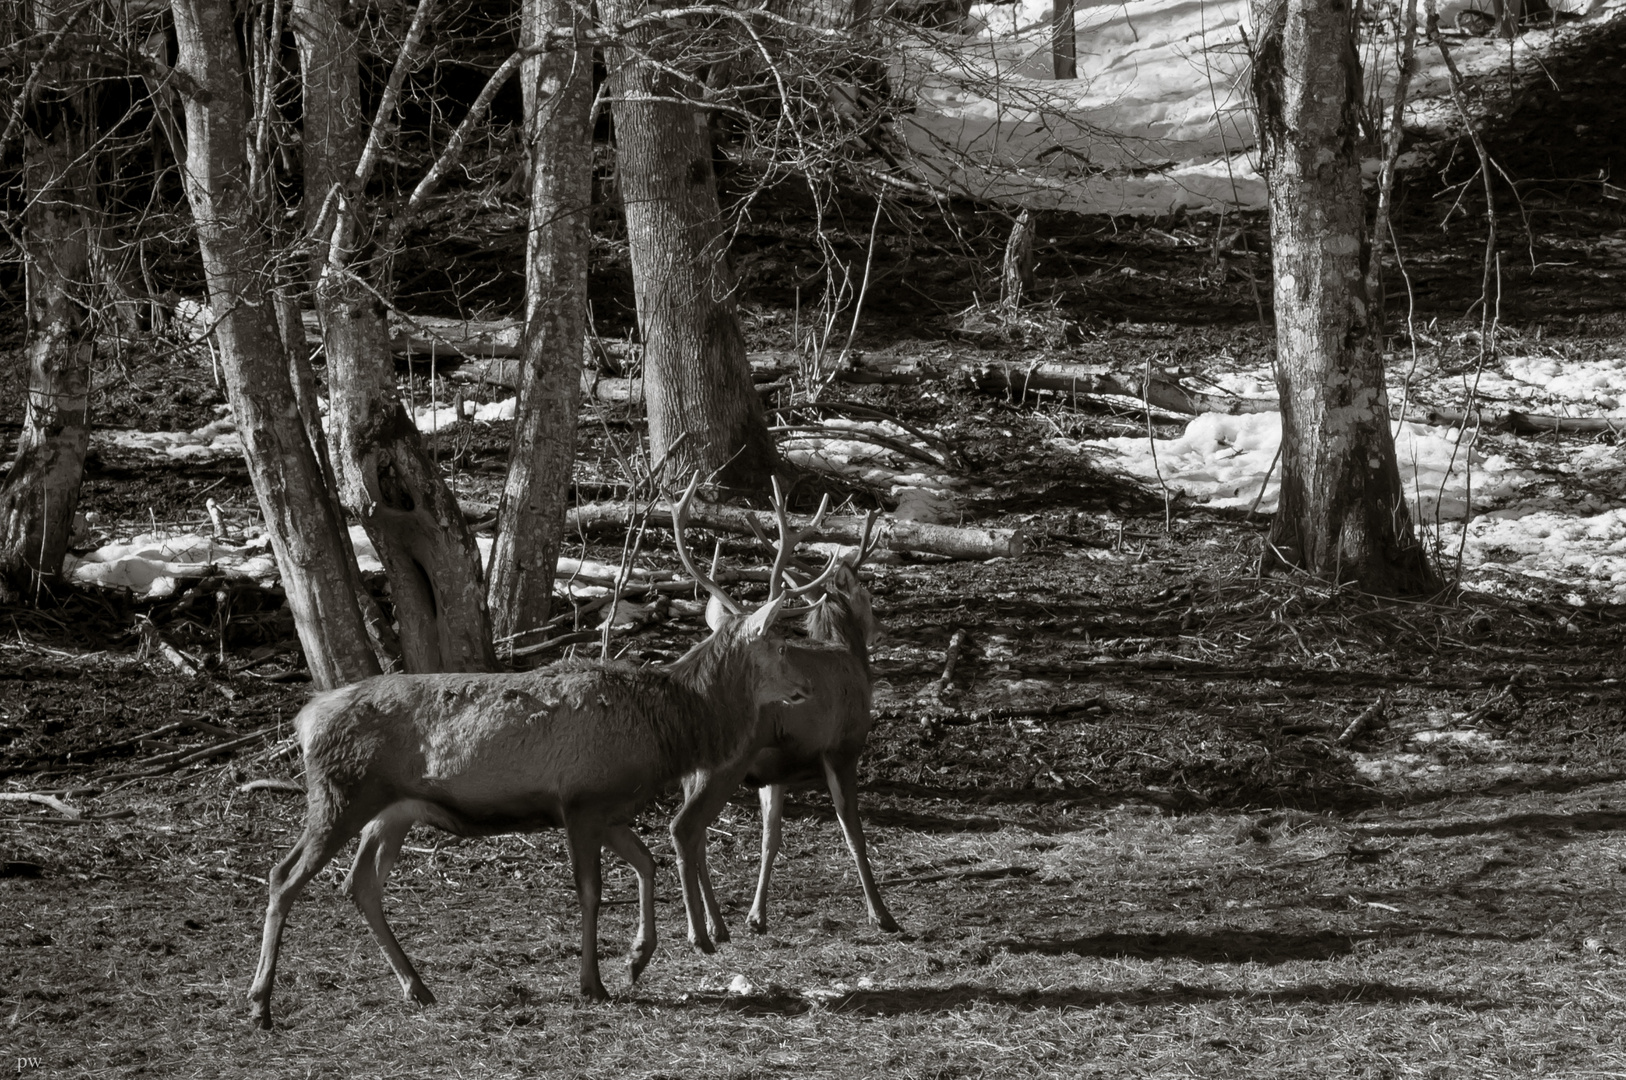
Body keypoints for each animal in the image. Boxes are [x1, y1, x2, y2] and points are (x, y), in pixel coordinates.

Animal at [243, 478, 809, 1027]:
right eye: (782, 644)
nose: (804, 691)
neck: (663, 731)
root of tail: (305, 718)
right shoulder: (581, 799)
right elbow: (591, 891)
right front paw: (593, 983)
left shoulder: (610, 807)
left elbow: (647, 863)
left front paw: (636, 960)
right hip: (341, 794)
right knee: (283, 876)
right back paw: (261, 1003)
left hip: (391, 811)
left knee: (359, 884)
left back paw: (417, 988)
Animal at [669, 478, 904, 949]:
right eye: (868, 596)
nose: (883, 628)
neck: (847, 655)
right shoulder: (843, 749)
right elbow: (854, 833)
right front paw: (882, 915)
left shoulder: (773, 771)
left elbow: (770, 838)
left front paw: (756, 916)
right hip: (726, 762)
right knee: (685, 829)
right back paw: (699, 934)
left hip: (699, 766)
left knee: (698, 833)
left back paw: (718, 925)